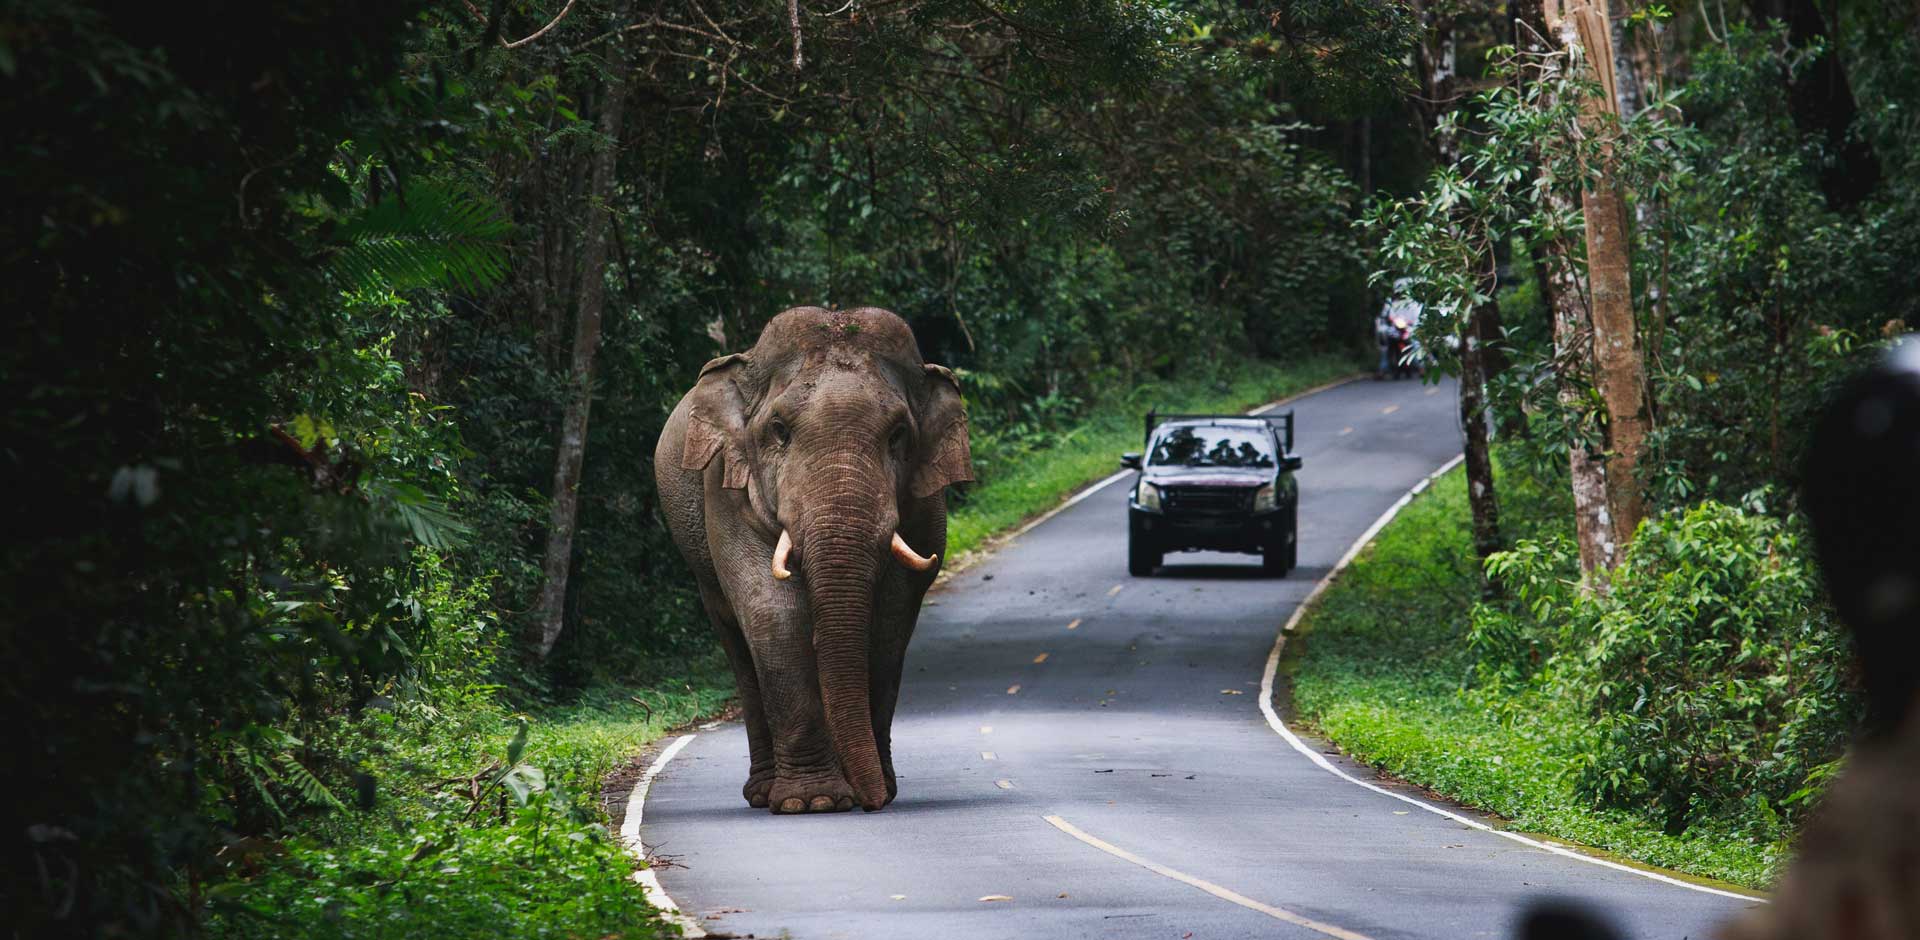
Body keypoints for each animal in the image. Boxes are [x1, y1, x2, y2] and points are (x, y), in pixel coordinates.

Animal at [656, 305, 975, 813]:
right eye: (779, 430)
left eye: (898, 434)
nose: (872, 801)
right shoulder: (724, 487)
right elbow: (774, 610)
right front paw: (814, 802)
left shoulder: (927, 500)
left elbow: (891, 617)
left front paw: (867, 790)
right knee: (738, 646)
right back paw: (762, 794)